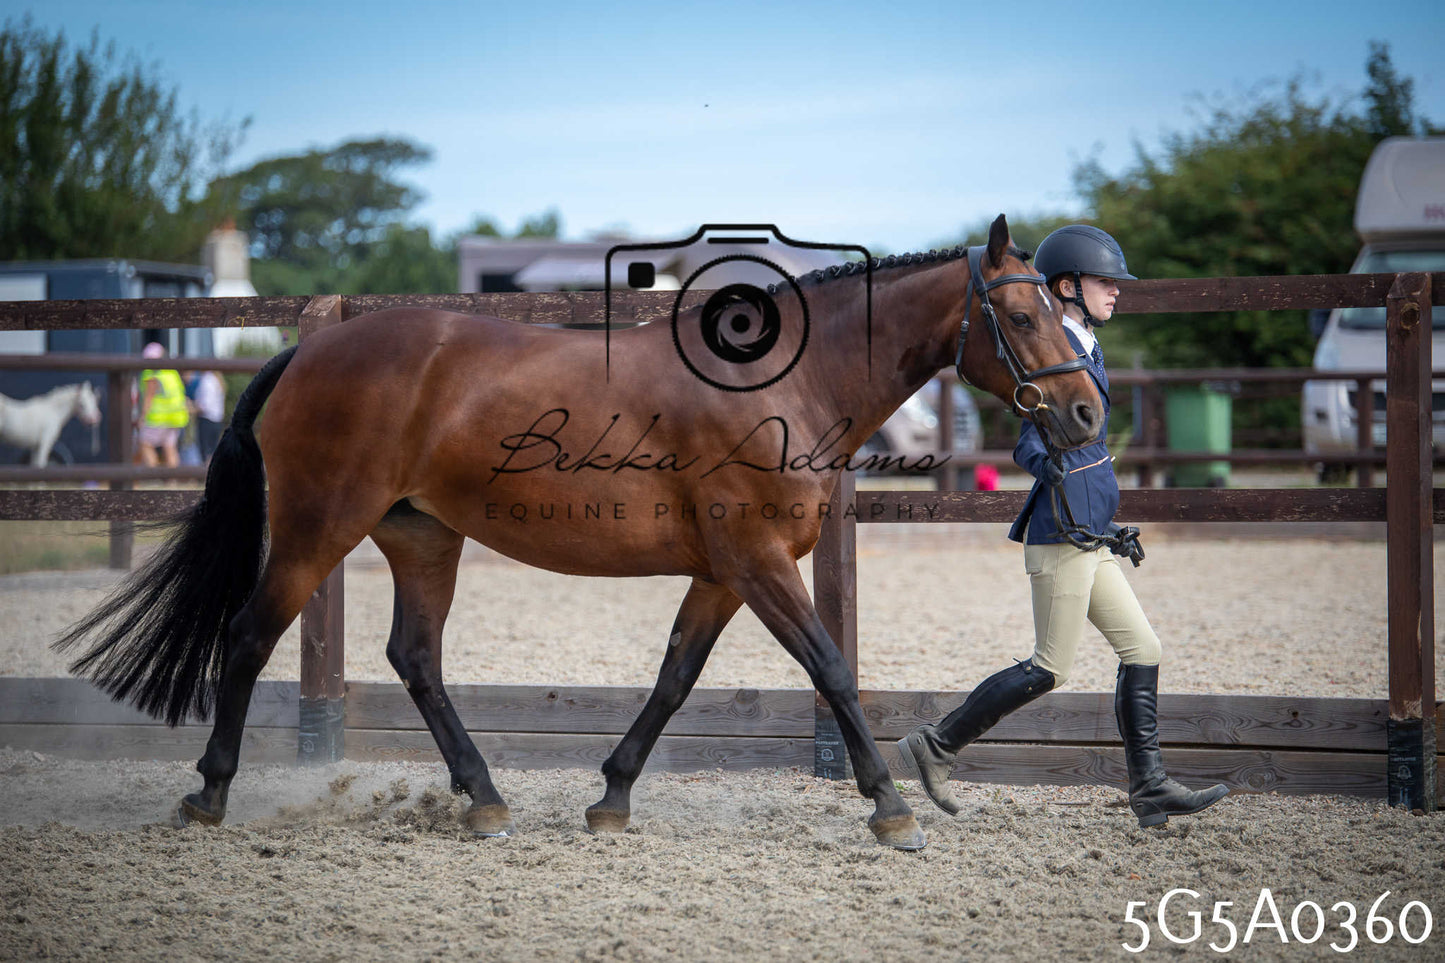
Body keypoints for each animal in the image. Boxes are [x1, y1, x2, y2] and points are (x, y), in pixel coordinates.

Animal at [56, 215, 1102, 850]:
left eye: (1061, 308)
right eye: (1018, 314)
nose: (1086, 414)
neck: (782, 382)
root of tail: (308, 350)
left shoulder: (724, 573)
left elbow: (675, 677)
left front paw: (611, 795)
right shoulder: (757, 562)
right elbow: (832, 668)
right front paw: (890, 806)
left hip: (422, 538)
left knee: (415, 657)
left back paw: (483, 796)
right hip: (319, 530)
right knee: (246, 638)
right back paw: (209, 793)